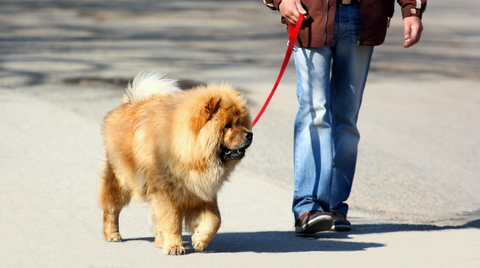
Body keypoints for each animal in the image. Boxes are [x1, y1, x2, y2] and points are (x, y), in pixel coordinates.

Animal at [99, 71, 253, 255]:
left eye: (241, 122)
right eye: (228, 126)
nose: (250, 134)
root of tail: (127, 104)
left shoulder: (201, 192)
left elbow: (215, 219)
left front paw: (199, 240)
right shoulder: (167, 193)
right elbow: (172, 221)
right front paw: (174, 246)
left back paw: (159, 241)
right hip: (121, 181)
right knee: (111, 209)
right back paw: (112, 234)